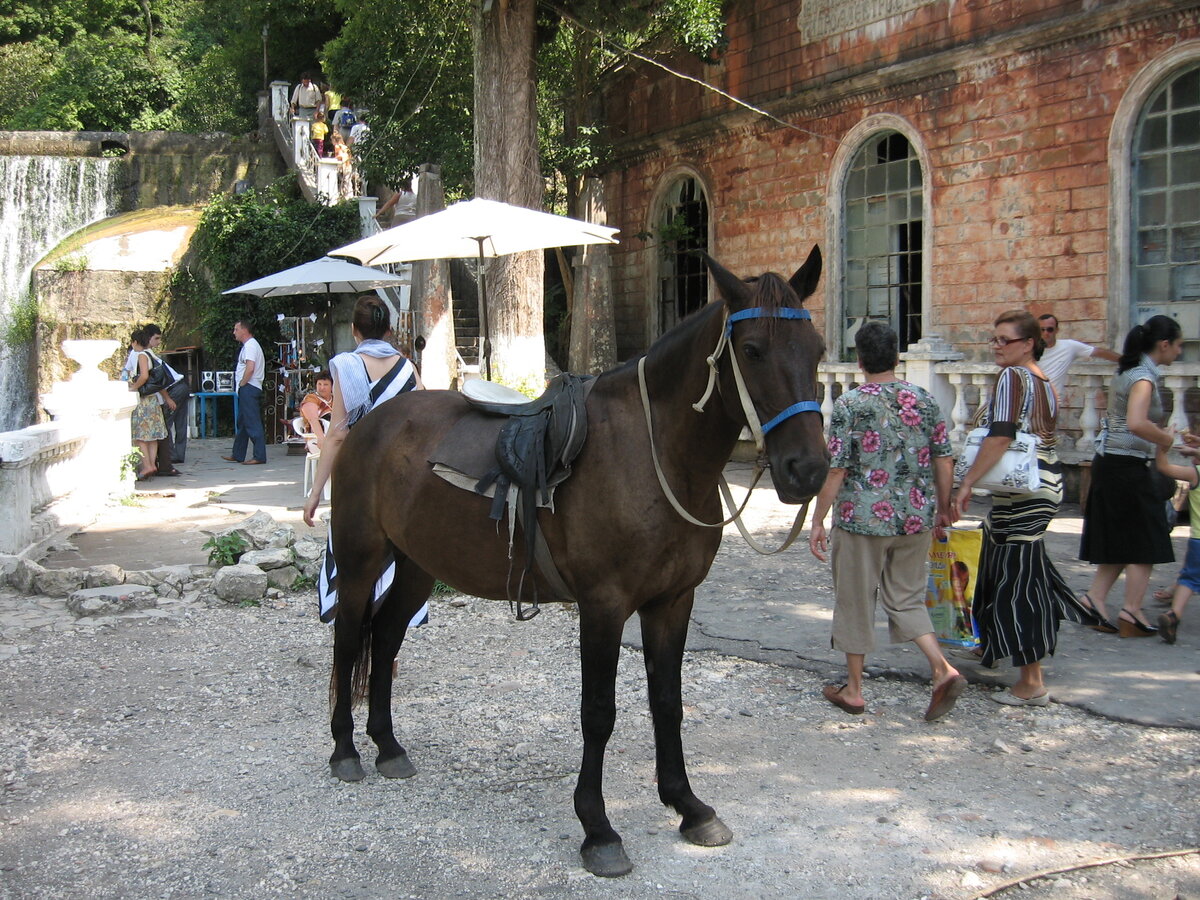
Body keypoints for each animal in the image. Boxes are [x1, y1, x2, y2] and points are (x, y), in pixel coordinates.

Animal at [328, 244, 835, 873]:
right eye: (753, 350)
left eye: (816, 350)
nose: (806, 470)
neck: (654, 456)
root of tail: (371, 423)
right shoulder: (604, 606)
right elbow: (599, 712)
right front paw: (598, 829)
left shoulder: (673, 602)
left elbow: (667, 702)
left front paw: (687, 806)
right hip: (360, 562)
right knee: (348, 639)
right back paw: (345, 750)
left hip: (418, 567)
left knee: (386, 636)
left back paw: (387, 745)